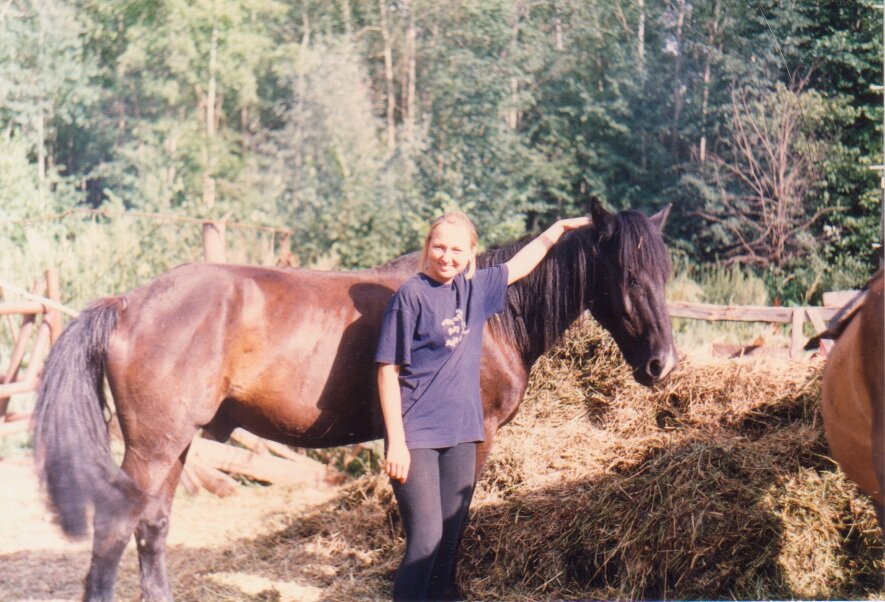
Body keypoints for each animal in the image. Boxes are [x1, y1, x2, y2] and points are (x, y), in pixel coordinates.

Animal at [31, 198, 672, 600]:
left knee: (153, 526)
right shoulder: (477, 438)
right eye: (627, 274)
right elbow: (455, 519)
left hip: (174, 444)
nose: (662, 364)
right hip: (153, 447)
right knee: (116, 530)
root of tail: (125, 303)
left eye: (664, 274)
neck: (495, 316)